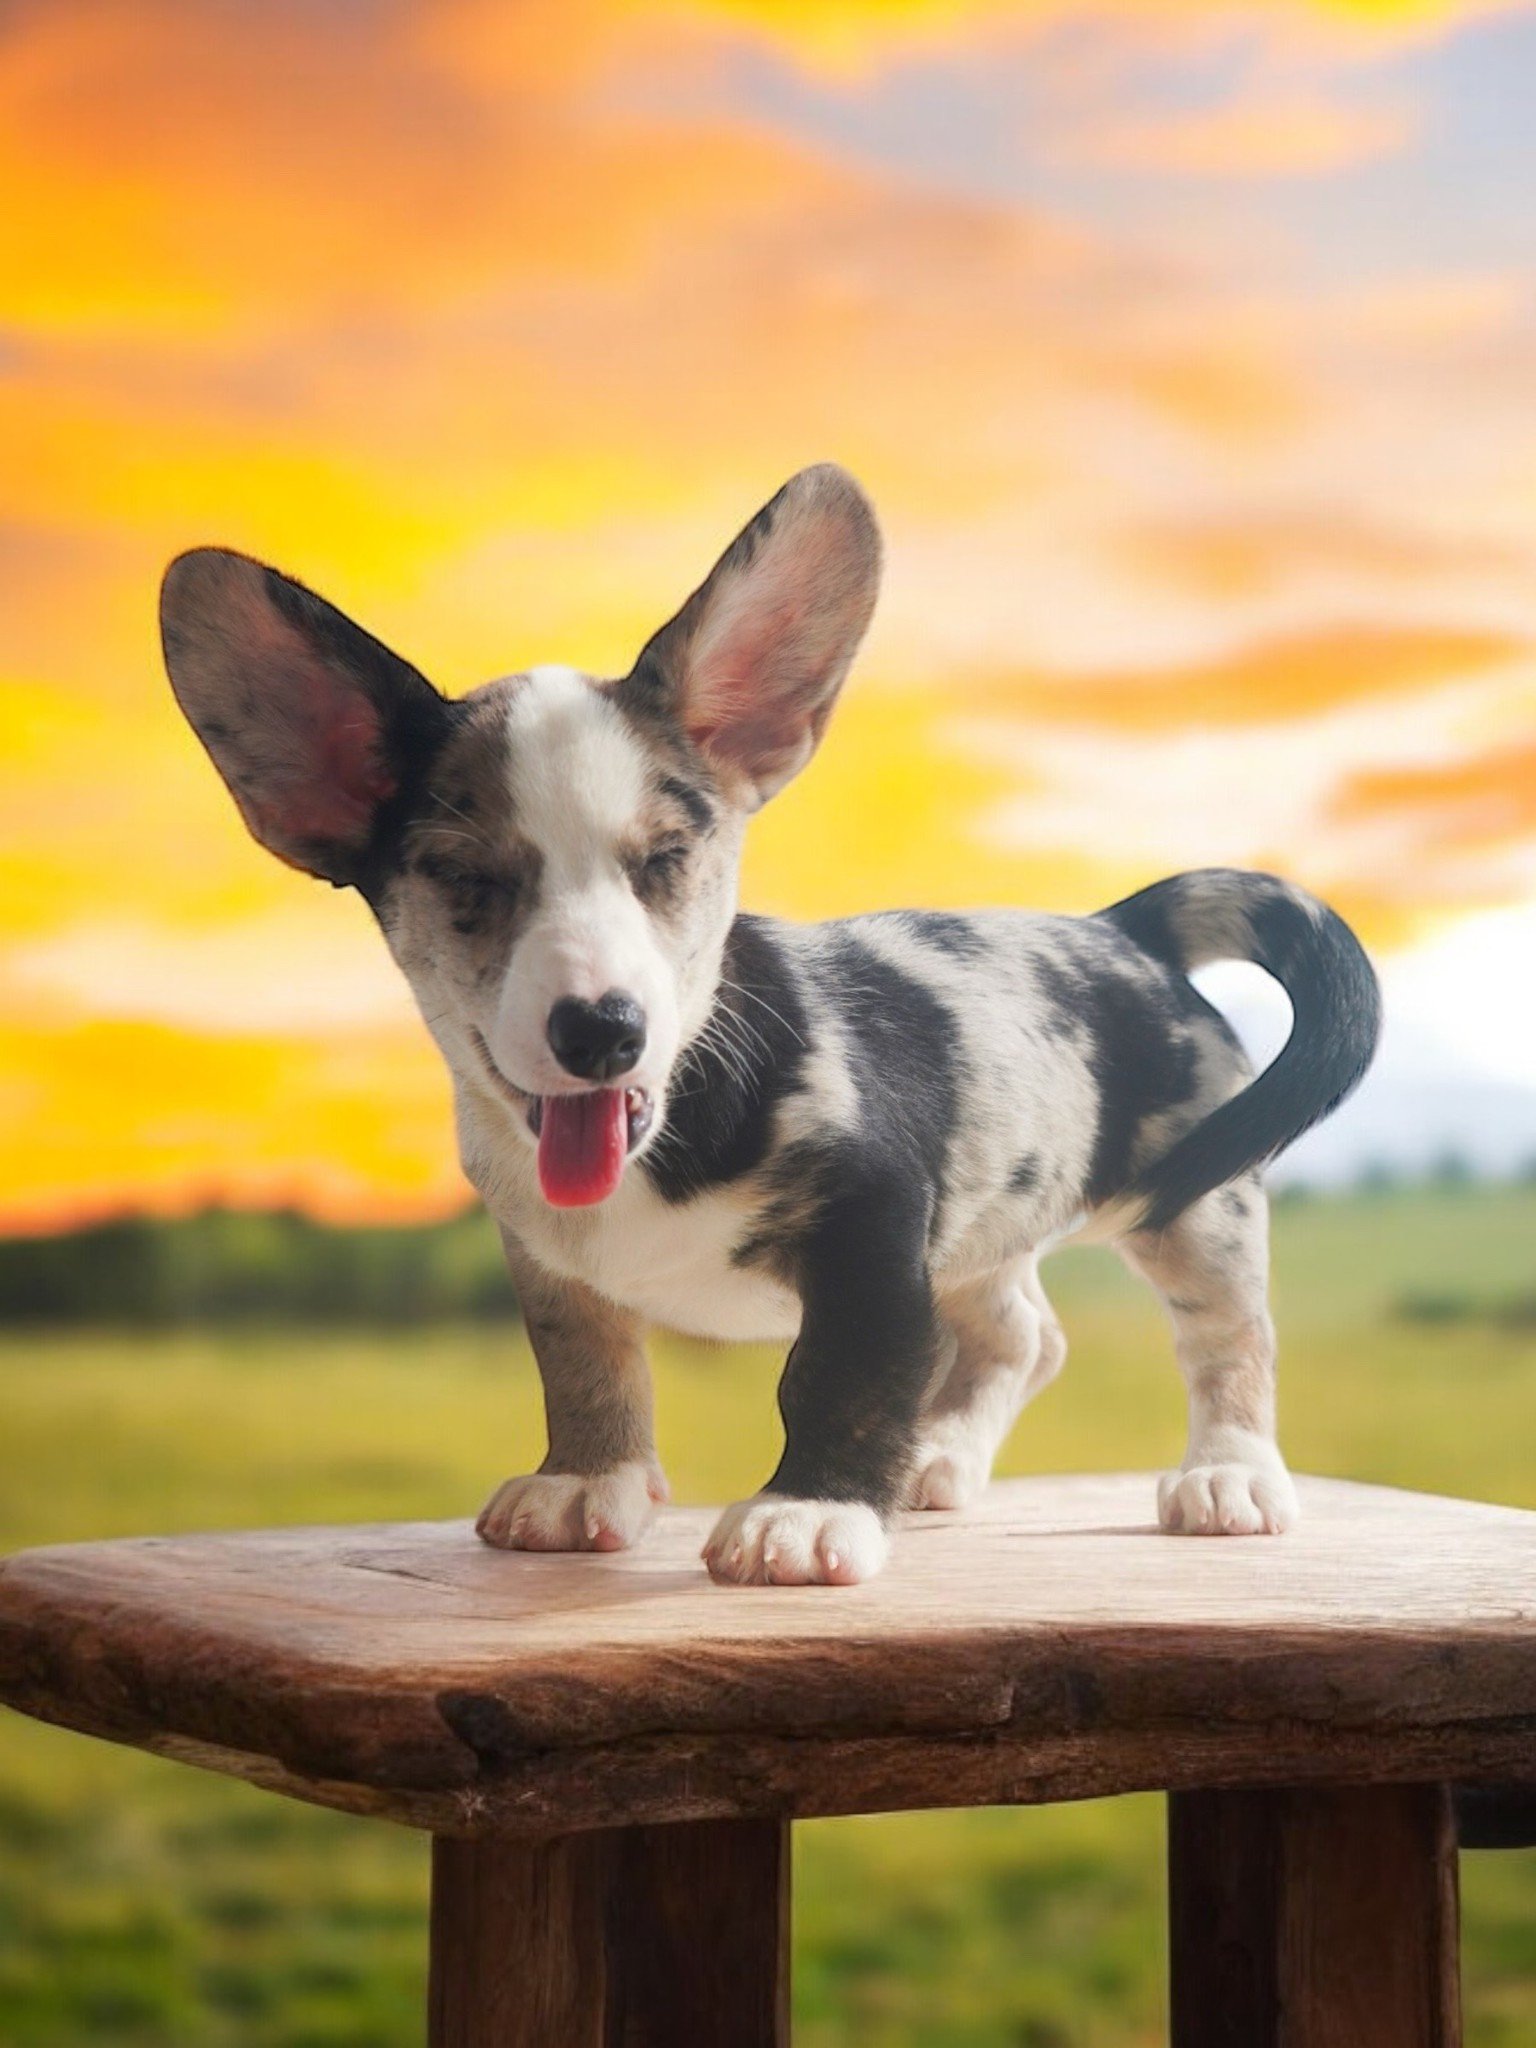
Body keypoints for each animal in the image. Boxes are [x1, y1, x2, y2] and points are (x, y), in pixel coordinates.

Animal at [159, 460, 1384, 1581]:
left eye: (665, 861)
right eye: (465, 878)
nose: (600, 1032)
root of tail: (1125, 926)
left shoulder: (874, 1234)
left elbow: (835, 1377)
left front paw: (808, 1513)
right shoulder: (553, 1267)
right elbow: (588, 1364)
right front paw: (584, 1481)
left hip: (1198, 1204)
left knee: (1227, 1334)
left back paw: (1229, 1474)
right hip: (990, 1207)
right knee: (1023, 1334)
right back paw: (942, 1457)